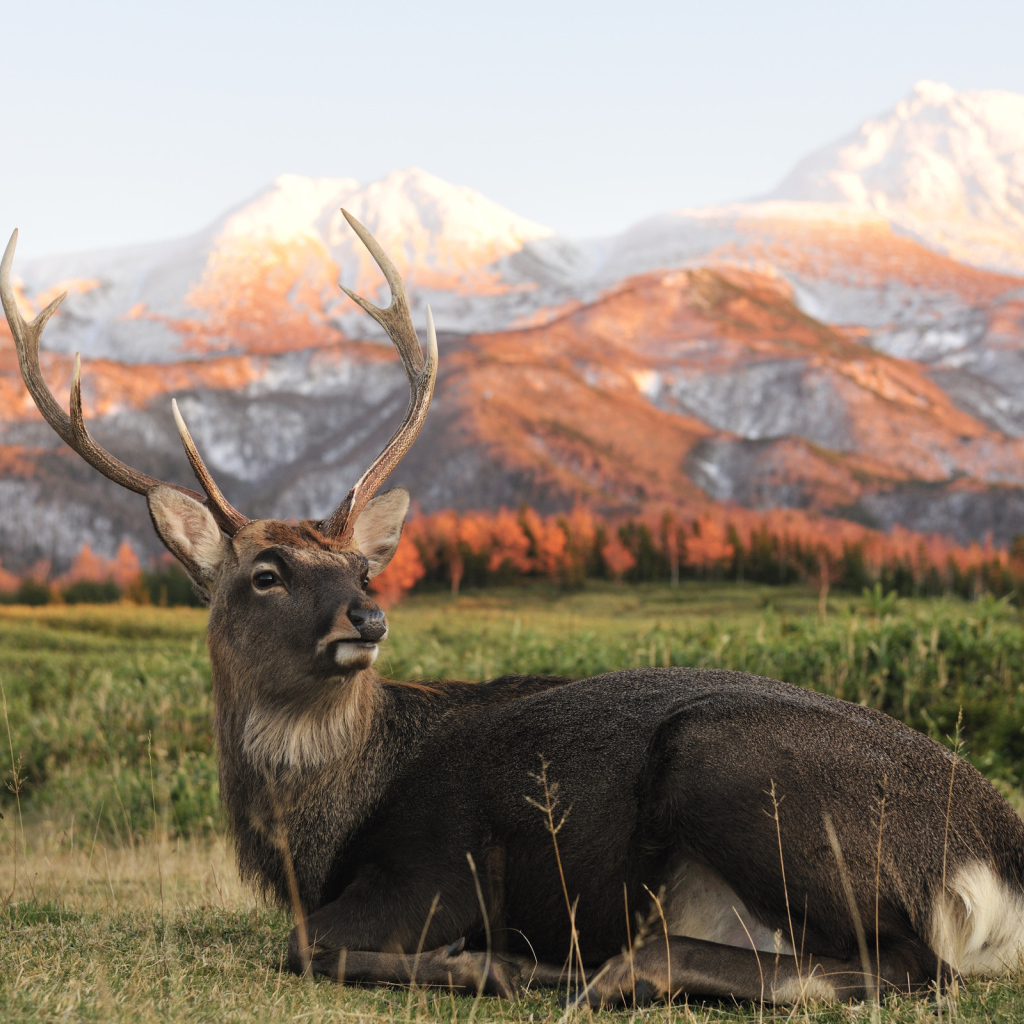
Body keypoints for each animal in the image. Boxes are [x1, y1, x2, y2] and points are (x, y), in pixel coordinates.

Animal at [3, 215, 1024, 1008]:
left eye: (360, 567)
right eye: (265, 572)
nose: (365, 619)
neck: (314, 836)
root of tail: (995, 849)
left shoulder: (437, 868)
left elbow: (306, 945)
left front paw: (482, 964)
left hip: (736, 769)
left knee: (911, 965)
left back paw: (591, 970)